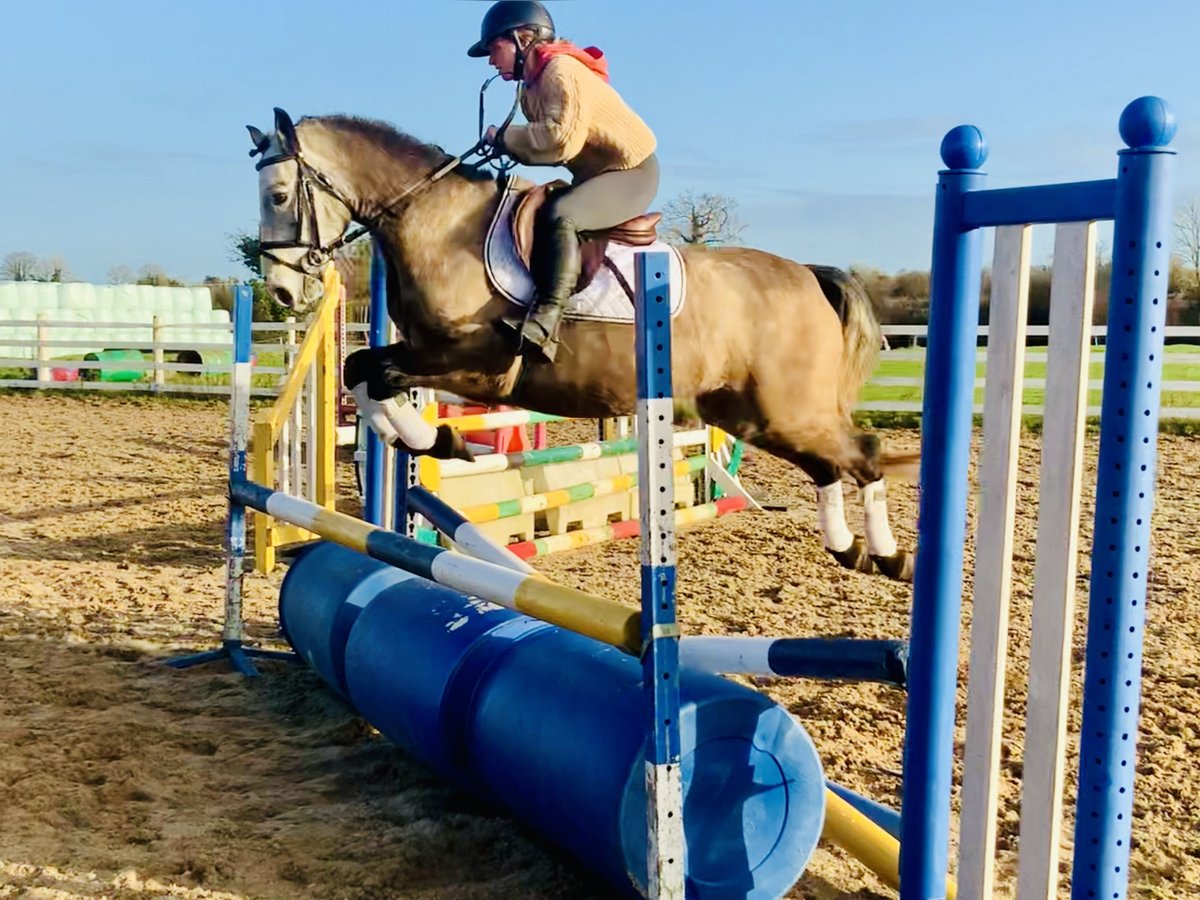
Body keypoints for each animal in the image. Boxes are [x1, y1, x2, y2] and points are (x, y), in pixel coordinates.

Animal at [243, 107, 916, 585]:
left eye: (278, 196)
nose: (280, 289)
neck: (431, 220)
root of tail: (807, 273)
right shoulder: (425, 355)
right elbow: (362, 371)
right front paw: (436, 440)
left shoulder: (479, 366)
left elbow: (377, 373)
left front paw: (439, 440)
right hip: (750, 411)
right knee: (831, 463)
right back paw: (853, 550)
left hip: (784, 407)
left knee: (862, 452)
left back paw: (888, 557)